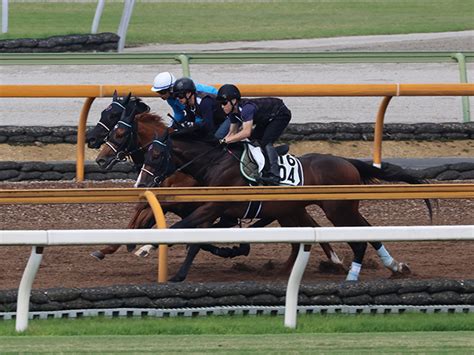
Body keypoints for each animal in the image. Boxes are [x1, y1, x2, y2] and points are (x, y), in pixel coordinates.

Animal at [134, 126, 434, 284]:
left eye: (156, 155)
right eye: (146, 153)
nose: (141, 184)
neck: (216, 164)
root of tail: (348, 162)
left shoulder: (213, 208)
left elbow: (183, 229)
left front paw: (150, 251)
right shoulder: (211, 210)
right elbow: (194, 237)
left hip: (338, 209)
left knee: (360, 237)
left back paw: (352, 274)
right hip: (318, 209)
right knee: (366, 232)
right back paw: (394, 266)